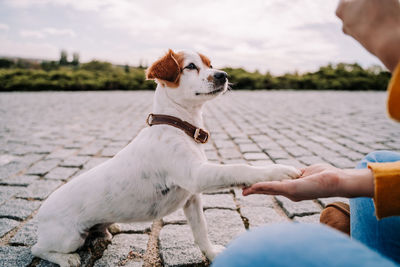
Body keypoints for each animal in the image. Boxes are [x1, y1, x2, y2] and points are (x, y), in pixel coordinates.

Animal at [31, 49, 300, 266]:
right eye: (190, 66)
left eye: (210, 64)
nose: (223, 75)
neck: (178, 125)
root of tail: (40, 214)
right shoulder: (196, 177)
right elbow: (238, 168)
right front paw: (278, 170)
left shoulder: (192, 198)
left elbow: (201, 232)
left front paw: (212, 254)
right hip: (68, 238)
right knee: (38, 249)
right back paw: (67, 259)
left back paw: (109, 228)